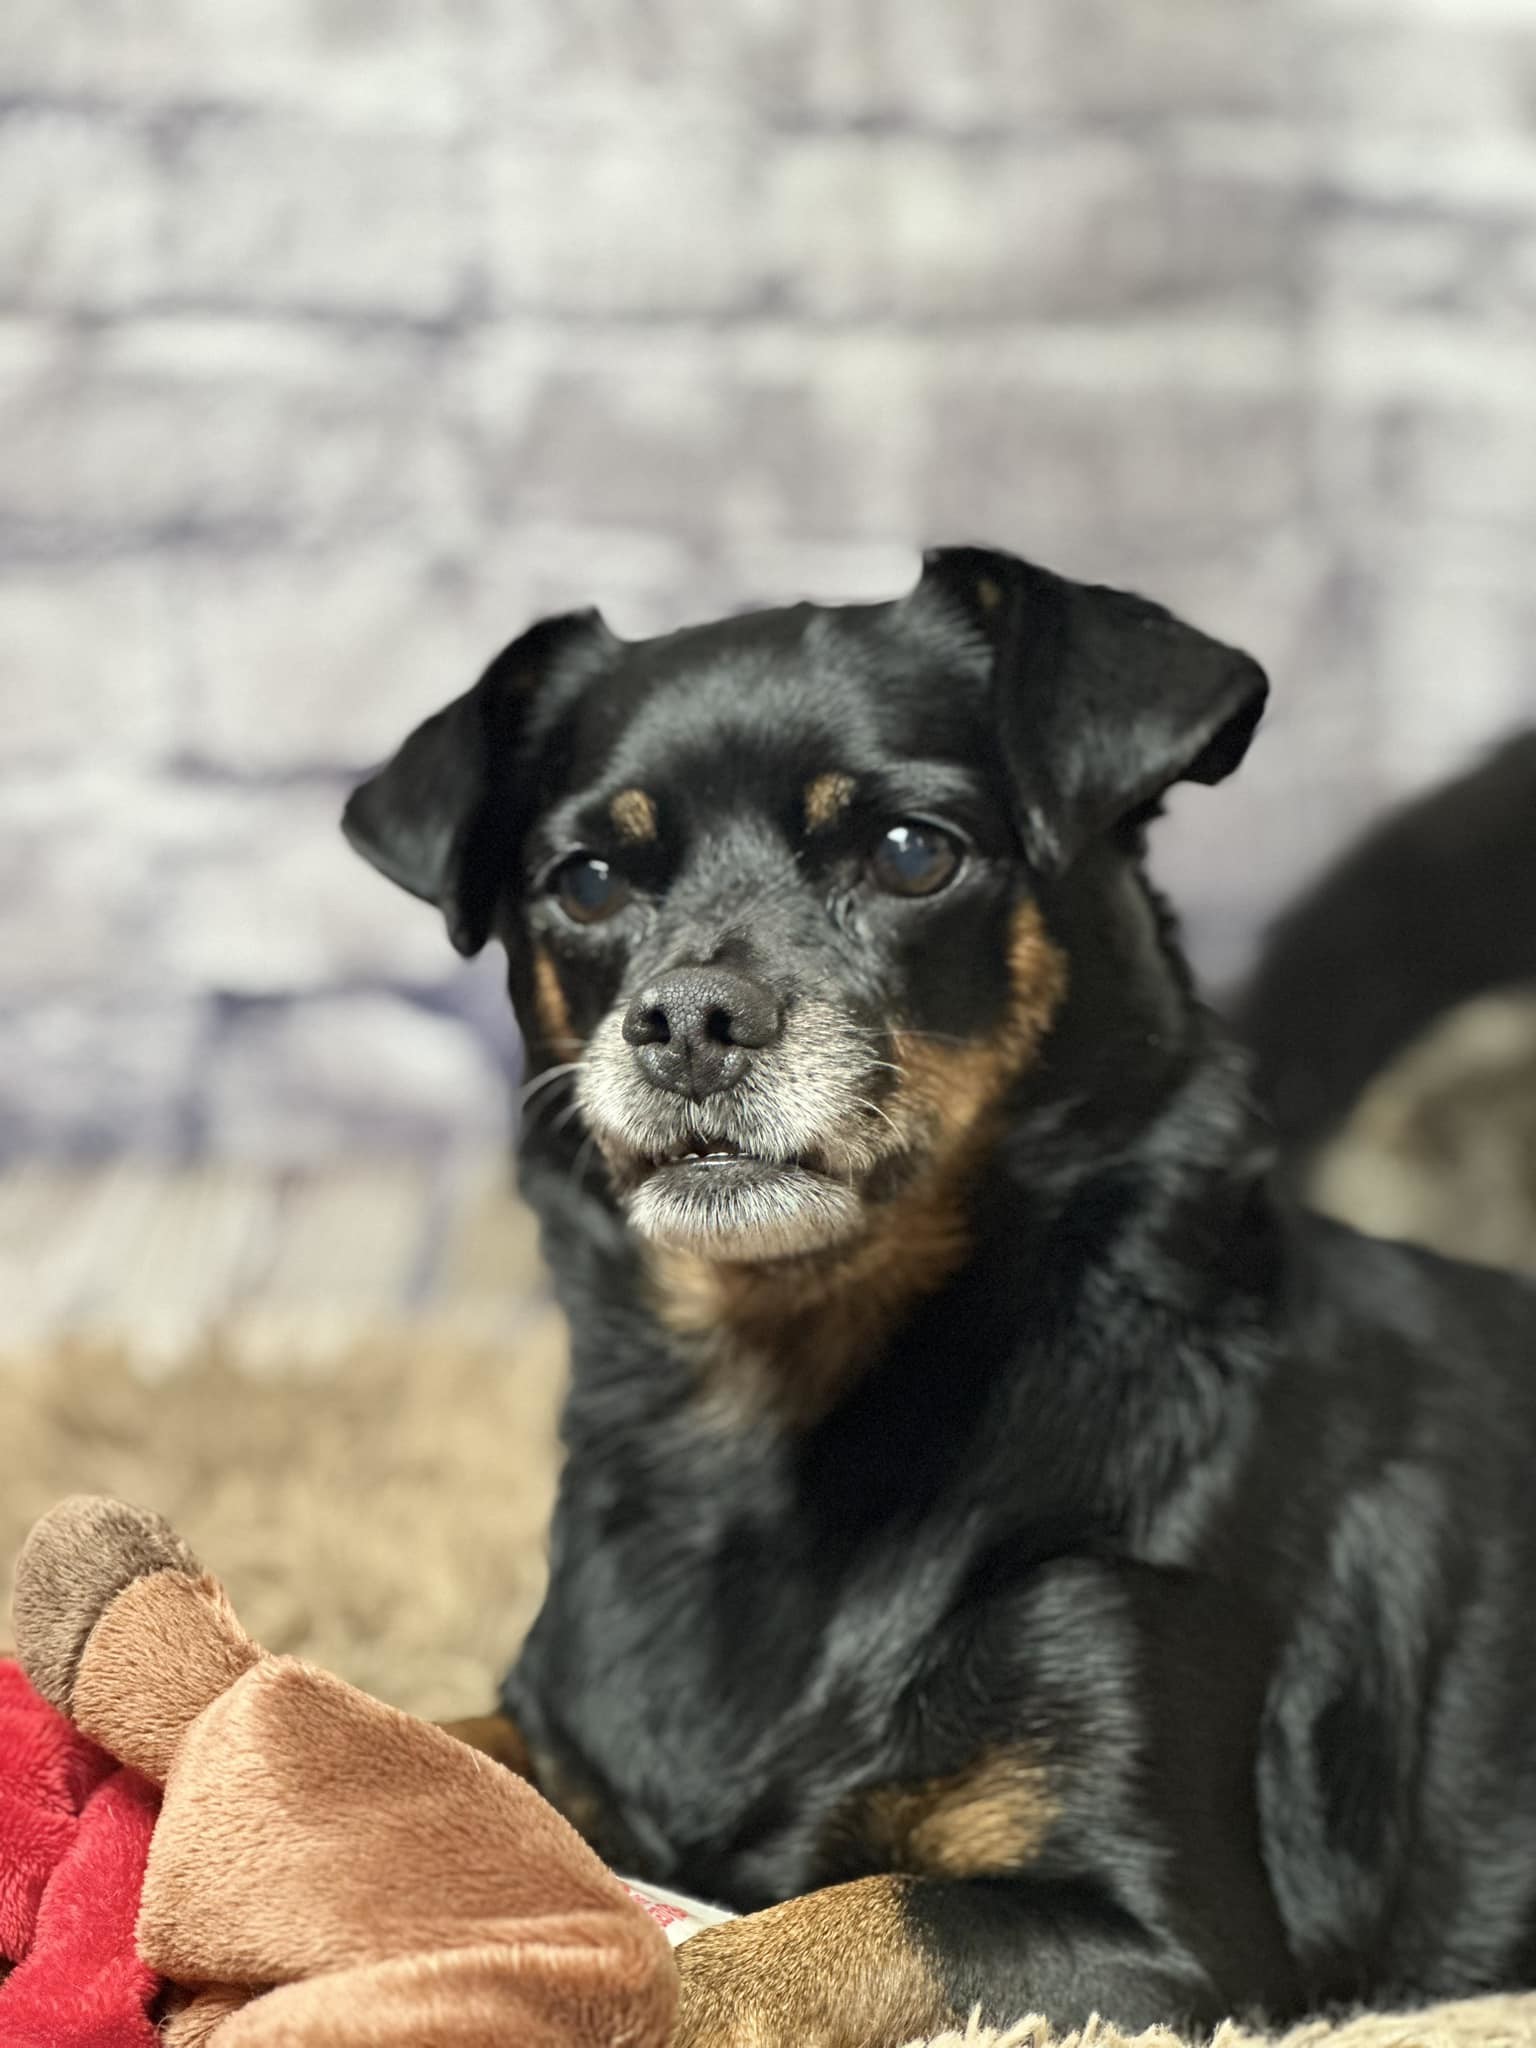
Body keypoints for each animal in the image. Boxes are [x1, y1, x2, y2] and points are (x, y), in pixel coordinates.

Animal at [342, 548, 1536, 2048]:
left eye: (913, 854)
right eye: (591, 881)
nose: (684, 1020)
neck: (783, 1409)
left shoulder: (1164, 1950)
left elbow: (793, 1934)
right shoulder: (555, 1739)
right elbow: (398, 1725)